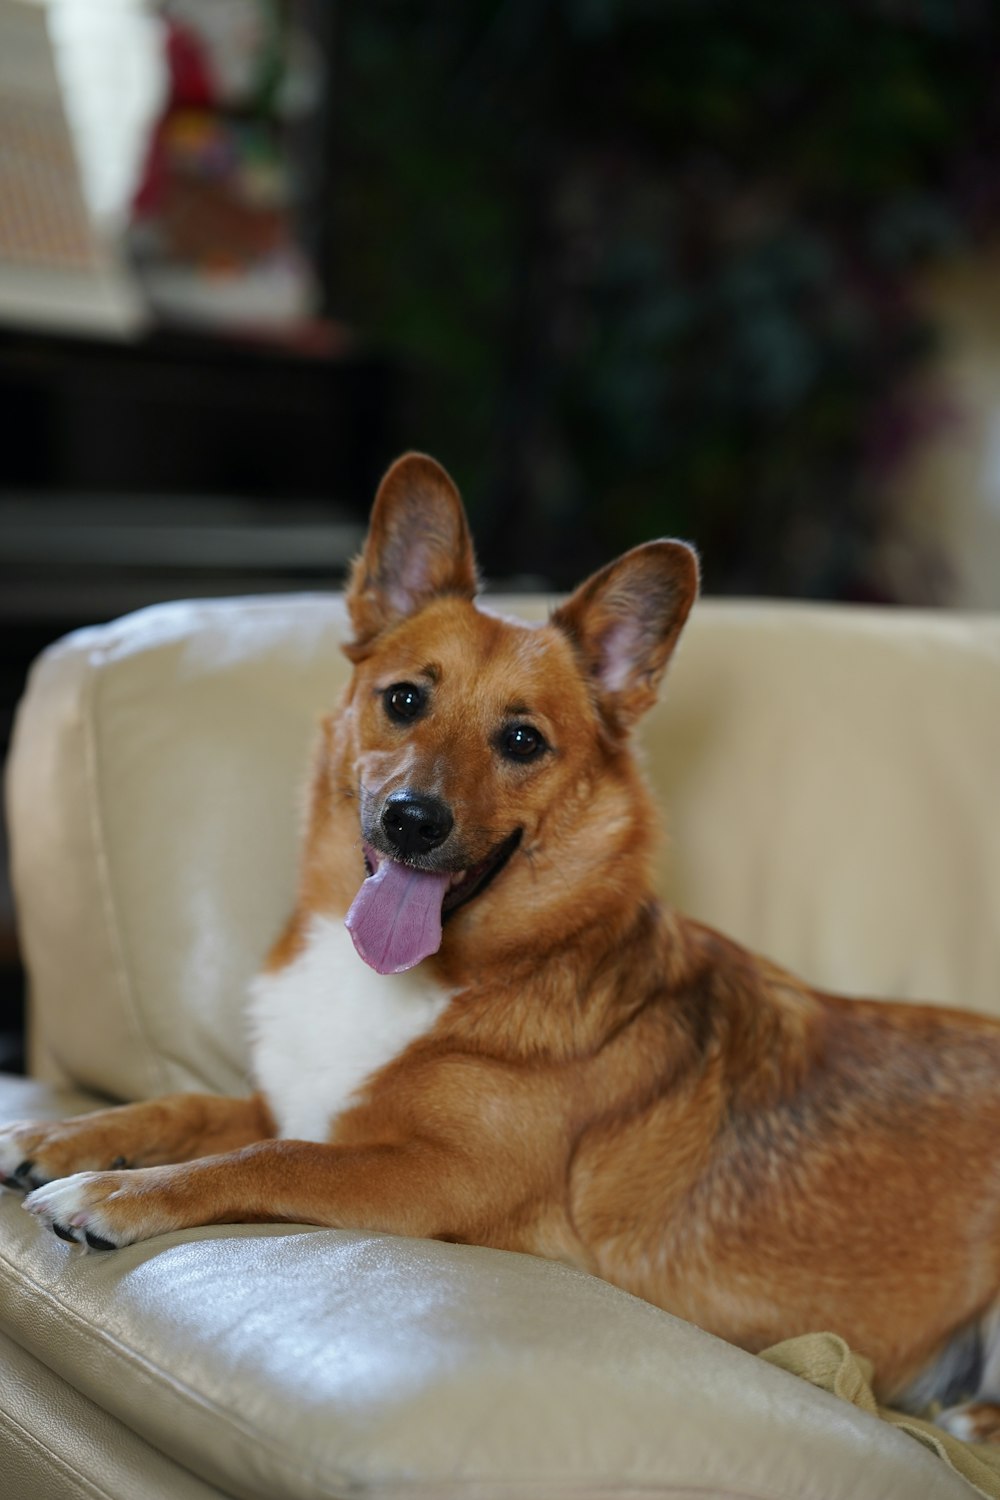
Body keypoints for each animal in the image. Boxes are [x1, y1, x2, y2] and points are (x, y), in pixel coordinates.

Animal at [1, 450, 1000, 1434]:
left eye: (521, 740)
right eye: (404, 699)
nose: (411, 822)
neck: (435, 977)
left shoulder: (438, 1178)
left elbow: (268, 1156)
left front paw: (118, 1195)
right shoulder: (301, 1104)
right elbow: (185, 1106)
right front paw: (60, 1134)